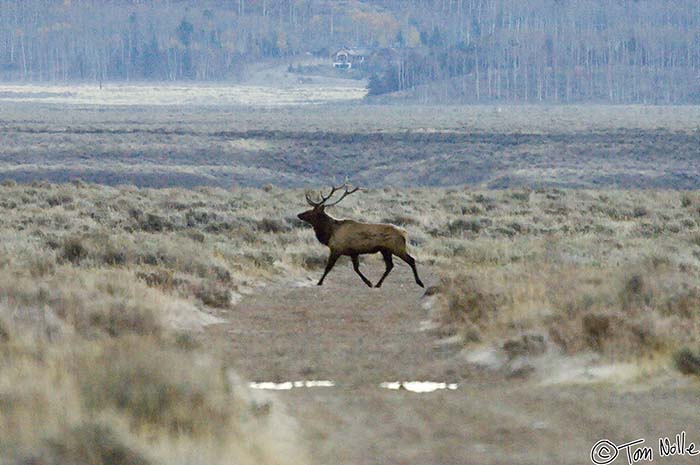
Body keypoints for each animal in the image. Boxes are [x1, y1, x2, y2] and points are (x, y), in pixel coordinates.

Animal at [296, 181, 424, 286]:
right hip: (385, 250)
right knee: (390, 266)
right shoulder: (353, 252)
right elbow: (356, 268)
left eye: (311, 212)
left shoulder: (336, 249)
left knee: (411, 260)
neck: (329, 233)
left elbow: (328, 267)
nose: (299, 214)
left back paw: (419, 282)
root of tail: (404, 233)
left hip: (397, 247)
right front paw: (369, 282)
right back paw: (378, 284)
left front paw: (319, 282)